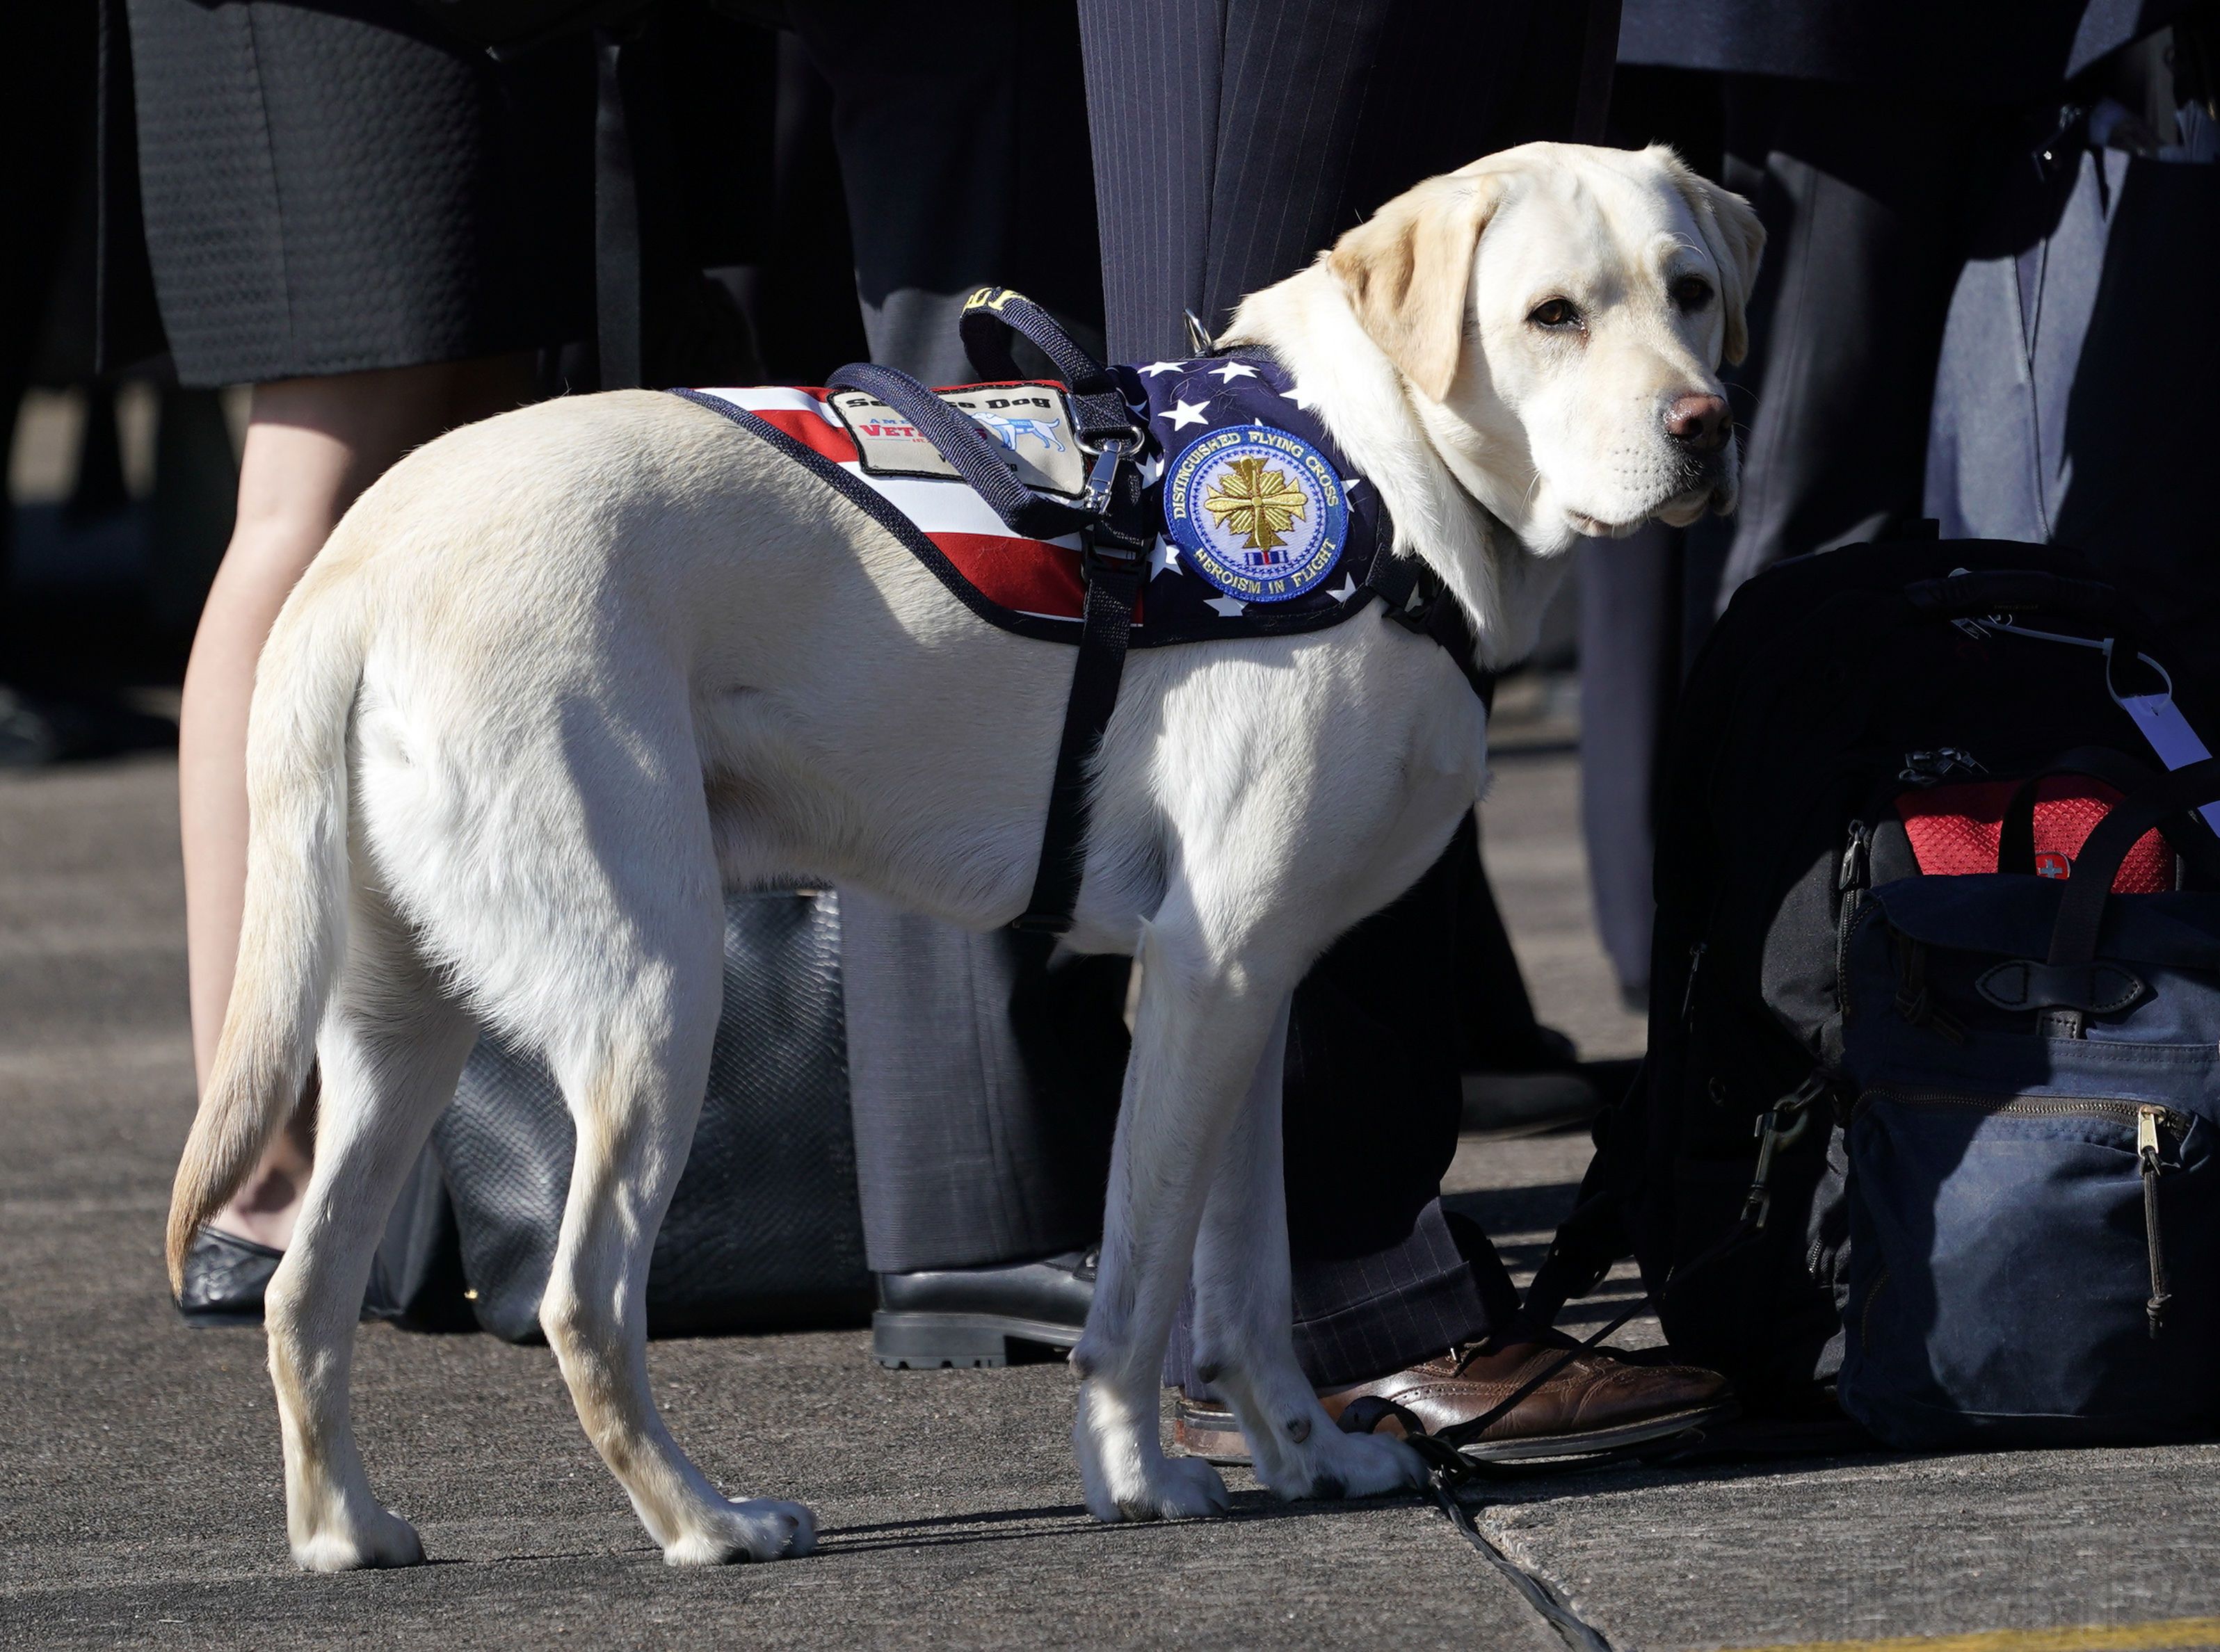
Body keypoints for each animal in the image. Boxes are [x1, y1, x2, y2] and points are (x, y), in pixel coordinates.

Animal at [168, 138, 1767, 1563]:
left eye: (1690, 291)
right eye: (1552, 315)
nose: (1702, 427)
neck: (1374, 469)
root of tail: (360, 558)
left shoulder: (1253, 991)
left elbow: (1245, 1282)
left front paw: (1306, 1455)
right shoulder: (1200, 976)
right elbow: (1141, 1284)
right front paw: (1139, 1478)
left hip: (398, 1029)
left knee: (303, 1297)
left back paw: (347, 1534)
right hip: (649, 998)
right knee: (581, 1302)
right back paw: (705, 1523)